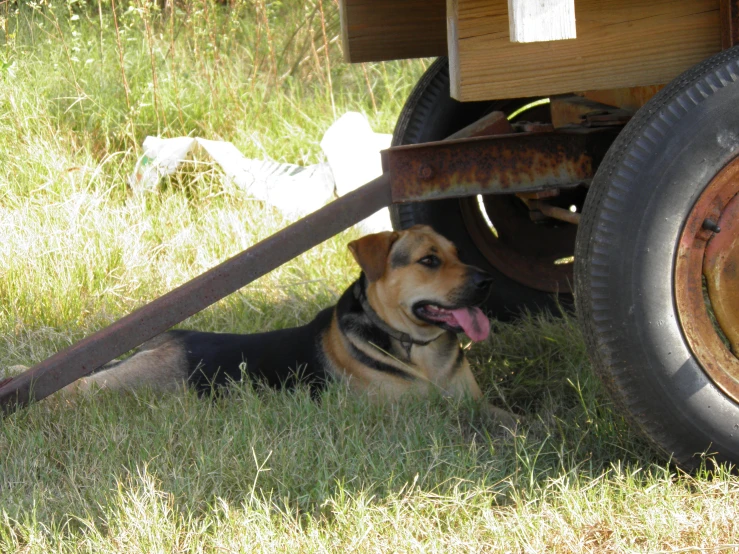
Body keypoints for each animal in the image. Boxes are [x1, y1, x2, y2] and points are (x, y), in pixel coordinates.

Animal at [52, 224, 516, 422]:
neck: (417, 349)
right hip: (130, 381)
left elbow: (513, 419)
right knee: (79, 386)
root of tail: (165, 339)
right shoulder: (412, 413)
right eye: (429, 261)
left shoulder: (474, 402)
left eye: (458, 254)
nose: (488, 281)